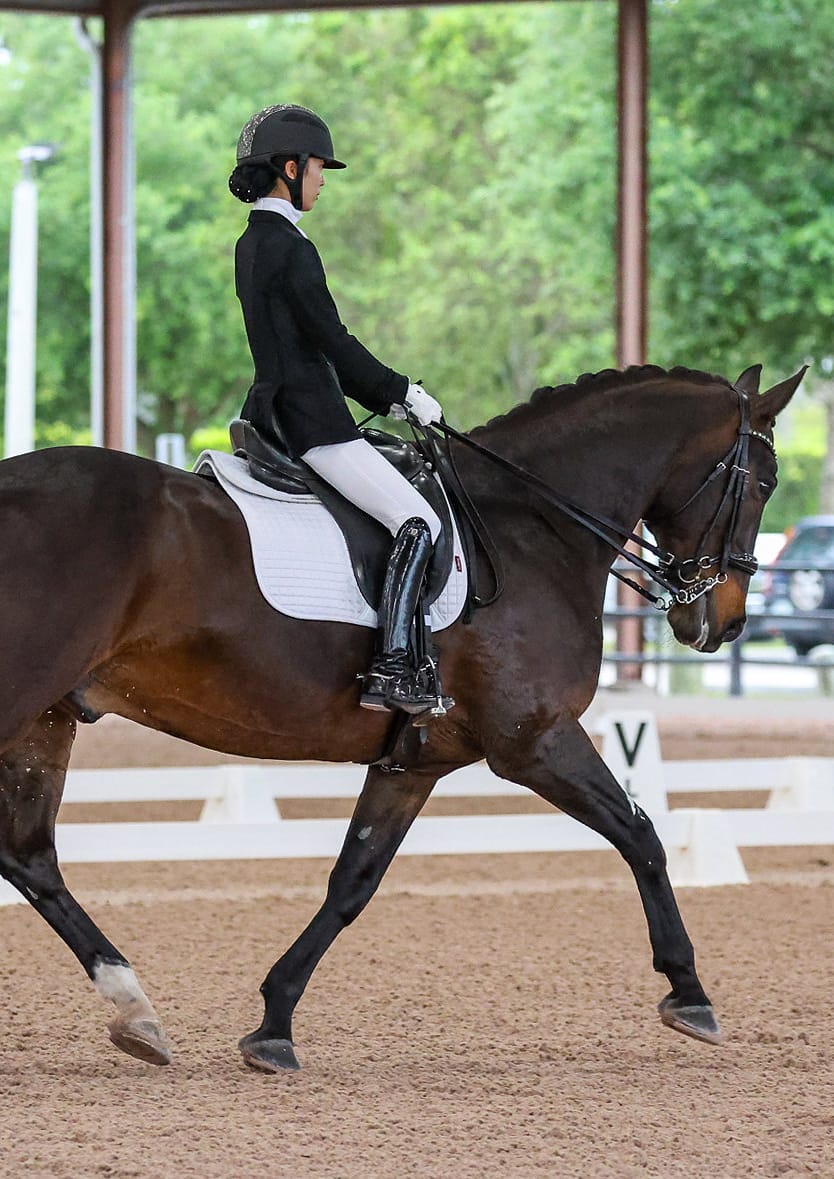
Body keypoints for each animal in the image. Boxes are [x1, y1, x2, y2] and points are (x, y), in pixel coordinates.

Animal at [0, 362, 802, 1073]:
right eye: (764, 482)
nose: (723, 623)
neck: (534, 527)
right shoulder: (534, 739)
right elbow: (642, 835)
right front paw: (690, 993)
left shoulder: (413, 761)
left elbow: (353, 881)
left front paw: (274, 1024)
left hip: (46, 720)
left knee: (30, 856)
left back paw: (135, 1010)